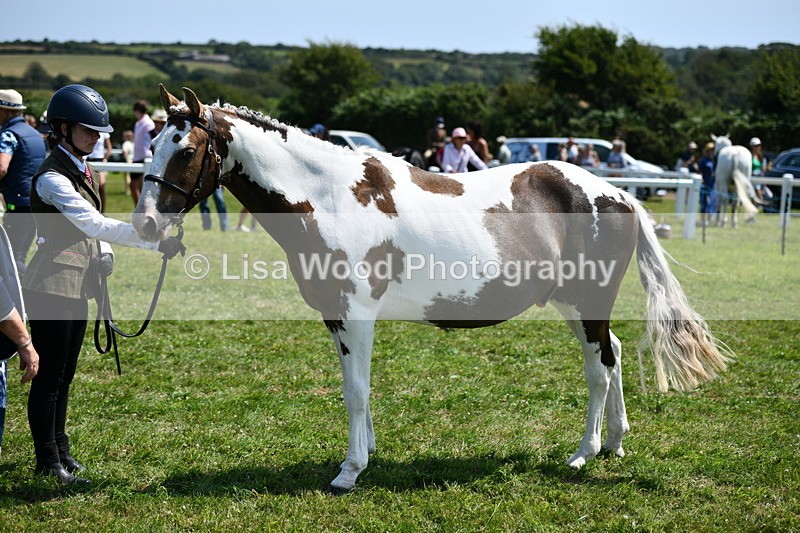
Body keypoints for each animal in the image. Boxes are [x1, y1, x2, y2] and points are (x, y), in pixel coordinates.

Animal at [132, 85, 732, 493]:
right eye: (153, 144)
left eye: (186, 150)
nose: (145, 224)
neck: (328, 196)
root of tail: (619, 194)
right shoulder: (337, 317)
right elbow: (357, 387)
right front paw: (367, 451)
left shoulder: (356, 314)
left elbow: (355, 390)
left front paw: (349, 471)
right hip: (574, 303)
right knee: (615, 355)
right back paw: (615, 443)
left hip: (588, 302)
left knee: (597, 369)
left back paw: (583, 453)